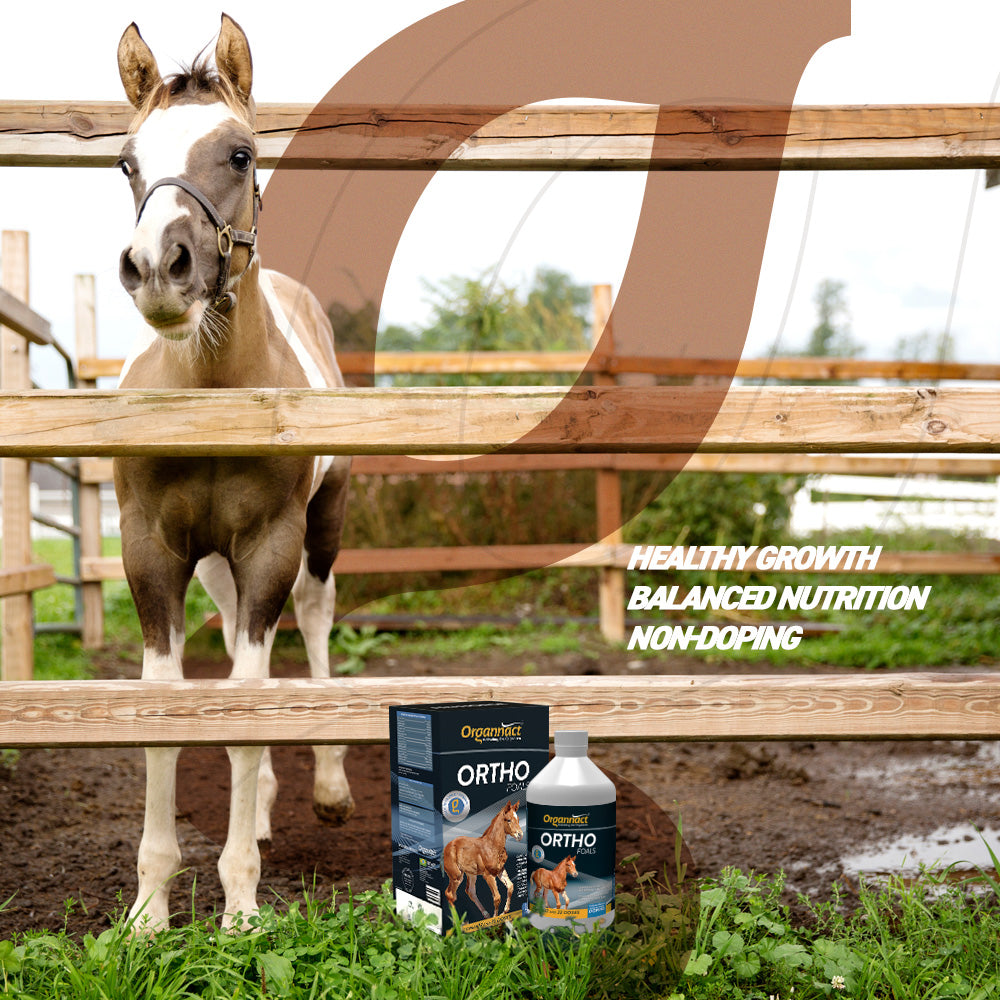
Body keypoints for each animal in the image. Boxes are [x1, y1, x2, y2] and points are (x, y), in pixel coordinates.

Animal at [114, 14, 353, 930]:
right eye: (127, 162)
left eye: (242, 153)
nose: (158, 267)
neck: (214, 395)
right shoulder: (151, 551)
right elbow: (171, 708)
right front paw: (149, 910)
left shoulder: (269, 546)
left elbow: (250, 707)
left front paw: (241, 905)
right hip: (214, 565)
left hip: (320, 529)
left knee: (314, 622)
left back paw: (327, 785)